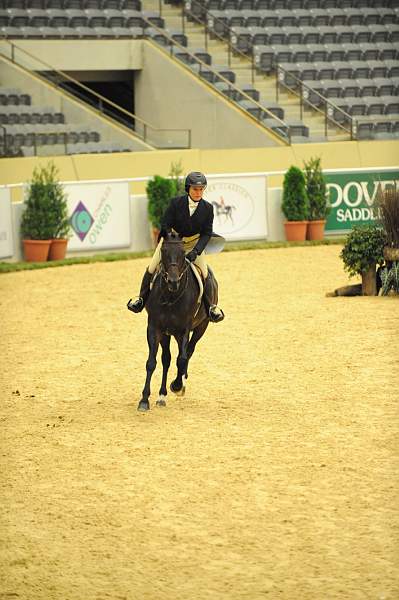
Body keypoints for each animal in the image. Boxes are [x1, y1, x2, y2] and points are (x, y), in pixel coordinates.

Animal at [138, 231, 219, 412]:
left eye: (183, 253)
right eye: (164, 251)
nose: (173, 282)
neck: (170, 296)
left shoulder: (184, 330)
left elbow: (181, 358)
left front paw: (177, 385)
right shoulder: (154, 328)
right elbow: (151, 362)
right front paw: (144, 400)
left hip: (201, 327)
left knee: (188, 351)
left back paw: (179, 383)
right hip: (167, 333)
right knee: (166, 359)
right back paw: (161, 396)